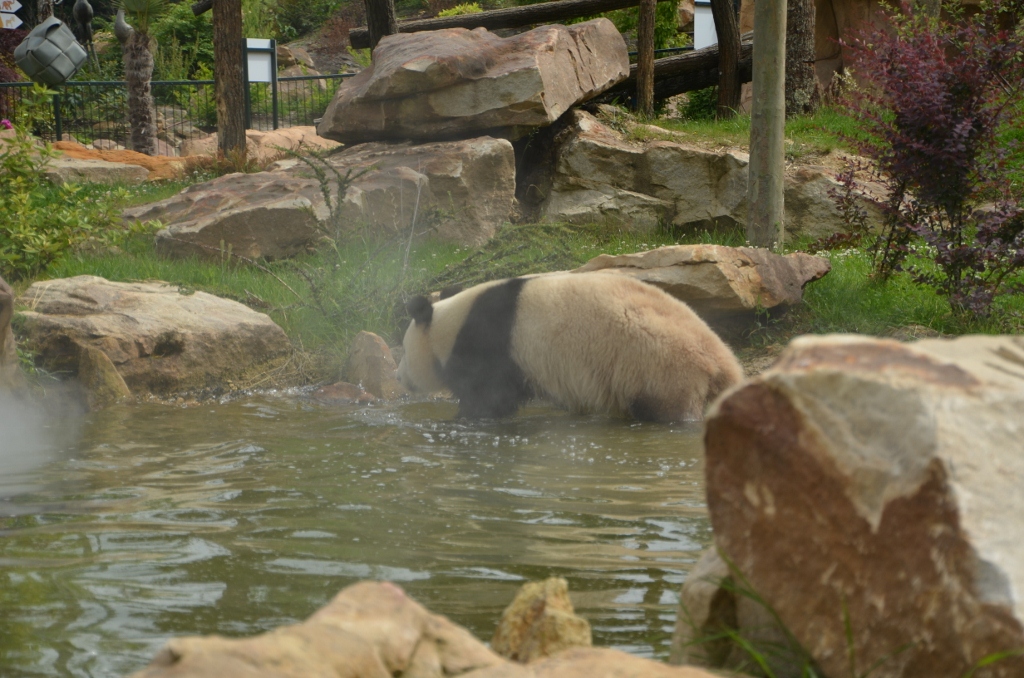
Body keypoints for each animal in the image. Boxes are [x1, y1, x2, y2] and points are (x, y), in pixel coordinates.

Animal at [393, 272, 745, 421]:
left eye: (405, 353)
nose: (400, 378)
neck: (451, 323)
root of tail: (721, 362)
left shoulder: (489, 344)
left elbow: (489, 398)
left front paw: (463, 420)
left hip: (656, 366)